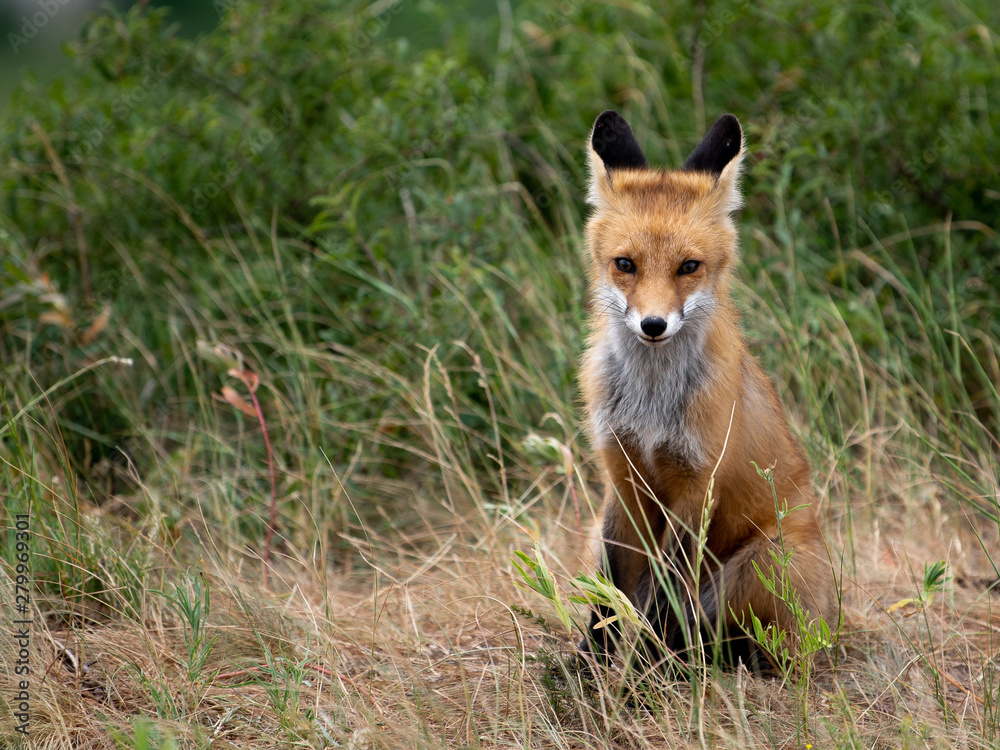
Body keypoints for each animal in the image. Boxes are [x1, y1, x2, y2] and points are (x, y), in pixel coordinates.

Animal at [577, 110, 835, 668]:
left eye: (688, 267)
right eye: (625, 264)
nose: (653, 325)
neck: (651, 406)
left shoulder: (699, 487)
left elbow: (665, 597)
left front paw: (641, 678)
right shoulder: (622, 476)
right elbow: (609, 593)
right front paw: (585, 672)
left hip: (766, 560)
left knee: (724, 635)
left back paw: (692, 664)